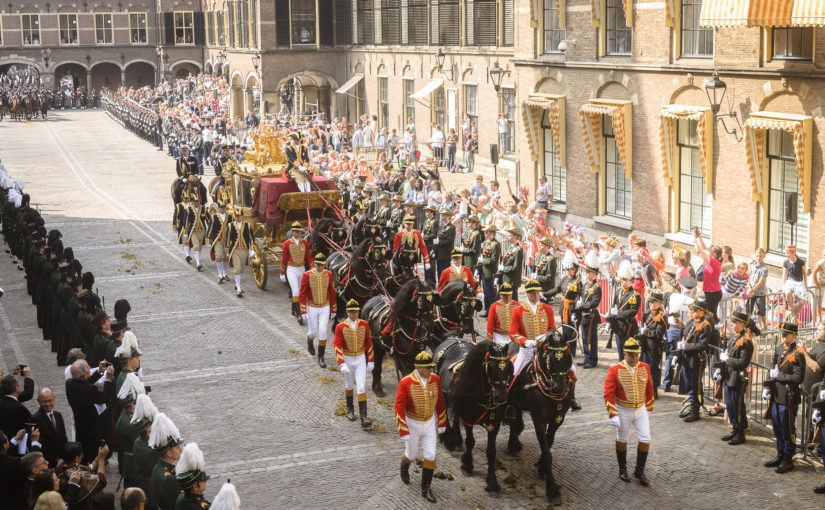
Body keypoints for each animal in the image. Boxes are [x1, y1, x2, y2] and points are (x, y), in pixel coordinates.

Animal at [434, 340, 512, 492]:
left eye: (508, 367)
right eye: (490, 367)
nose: (501, 397)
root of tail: (452, 339)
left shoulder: (494, 423)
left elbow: (491, 451)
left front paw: (492, 481)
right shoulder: (468, 419)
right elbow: (470, 442)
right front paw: (467, 465)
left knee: (455, 417)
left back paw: (457, 439)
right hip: (443, 396)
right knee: (445, 412)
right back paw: (448, 439)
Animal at [506, 328, 568, 504]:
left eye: (567, 357)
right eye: (550, 359)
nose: (559, 388)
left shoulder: (558, 418)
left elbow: (549, 441)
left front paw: (541, 467)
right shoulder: (539, 419)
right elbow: (547, 452)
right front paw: (552, 489)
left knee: (516, 422)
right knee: (514, 420)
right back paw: (513, 443)